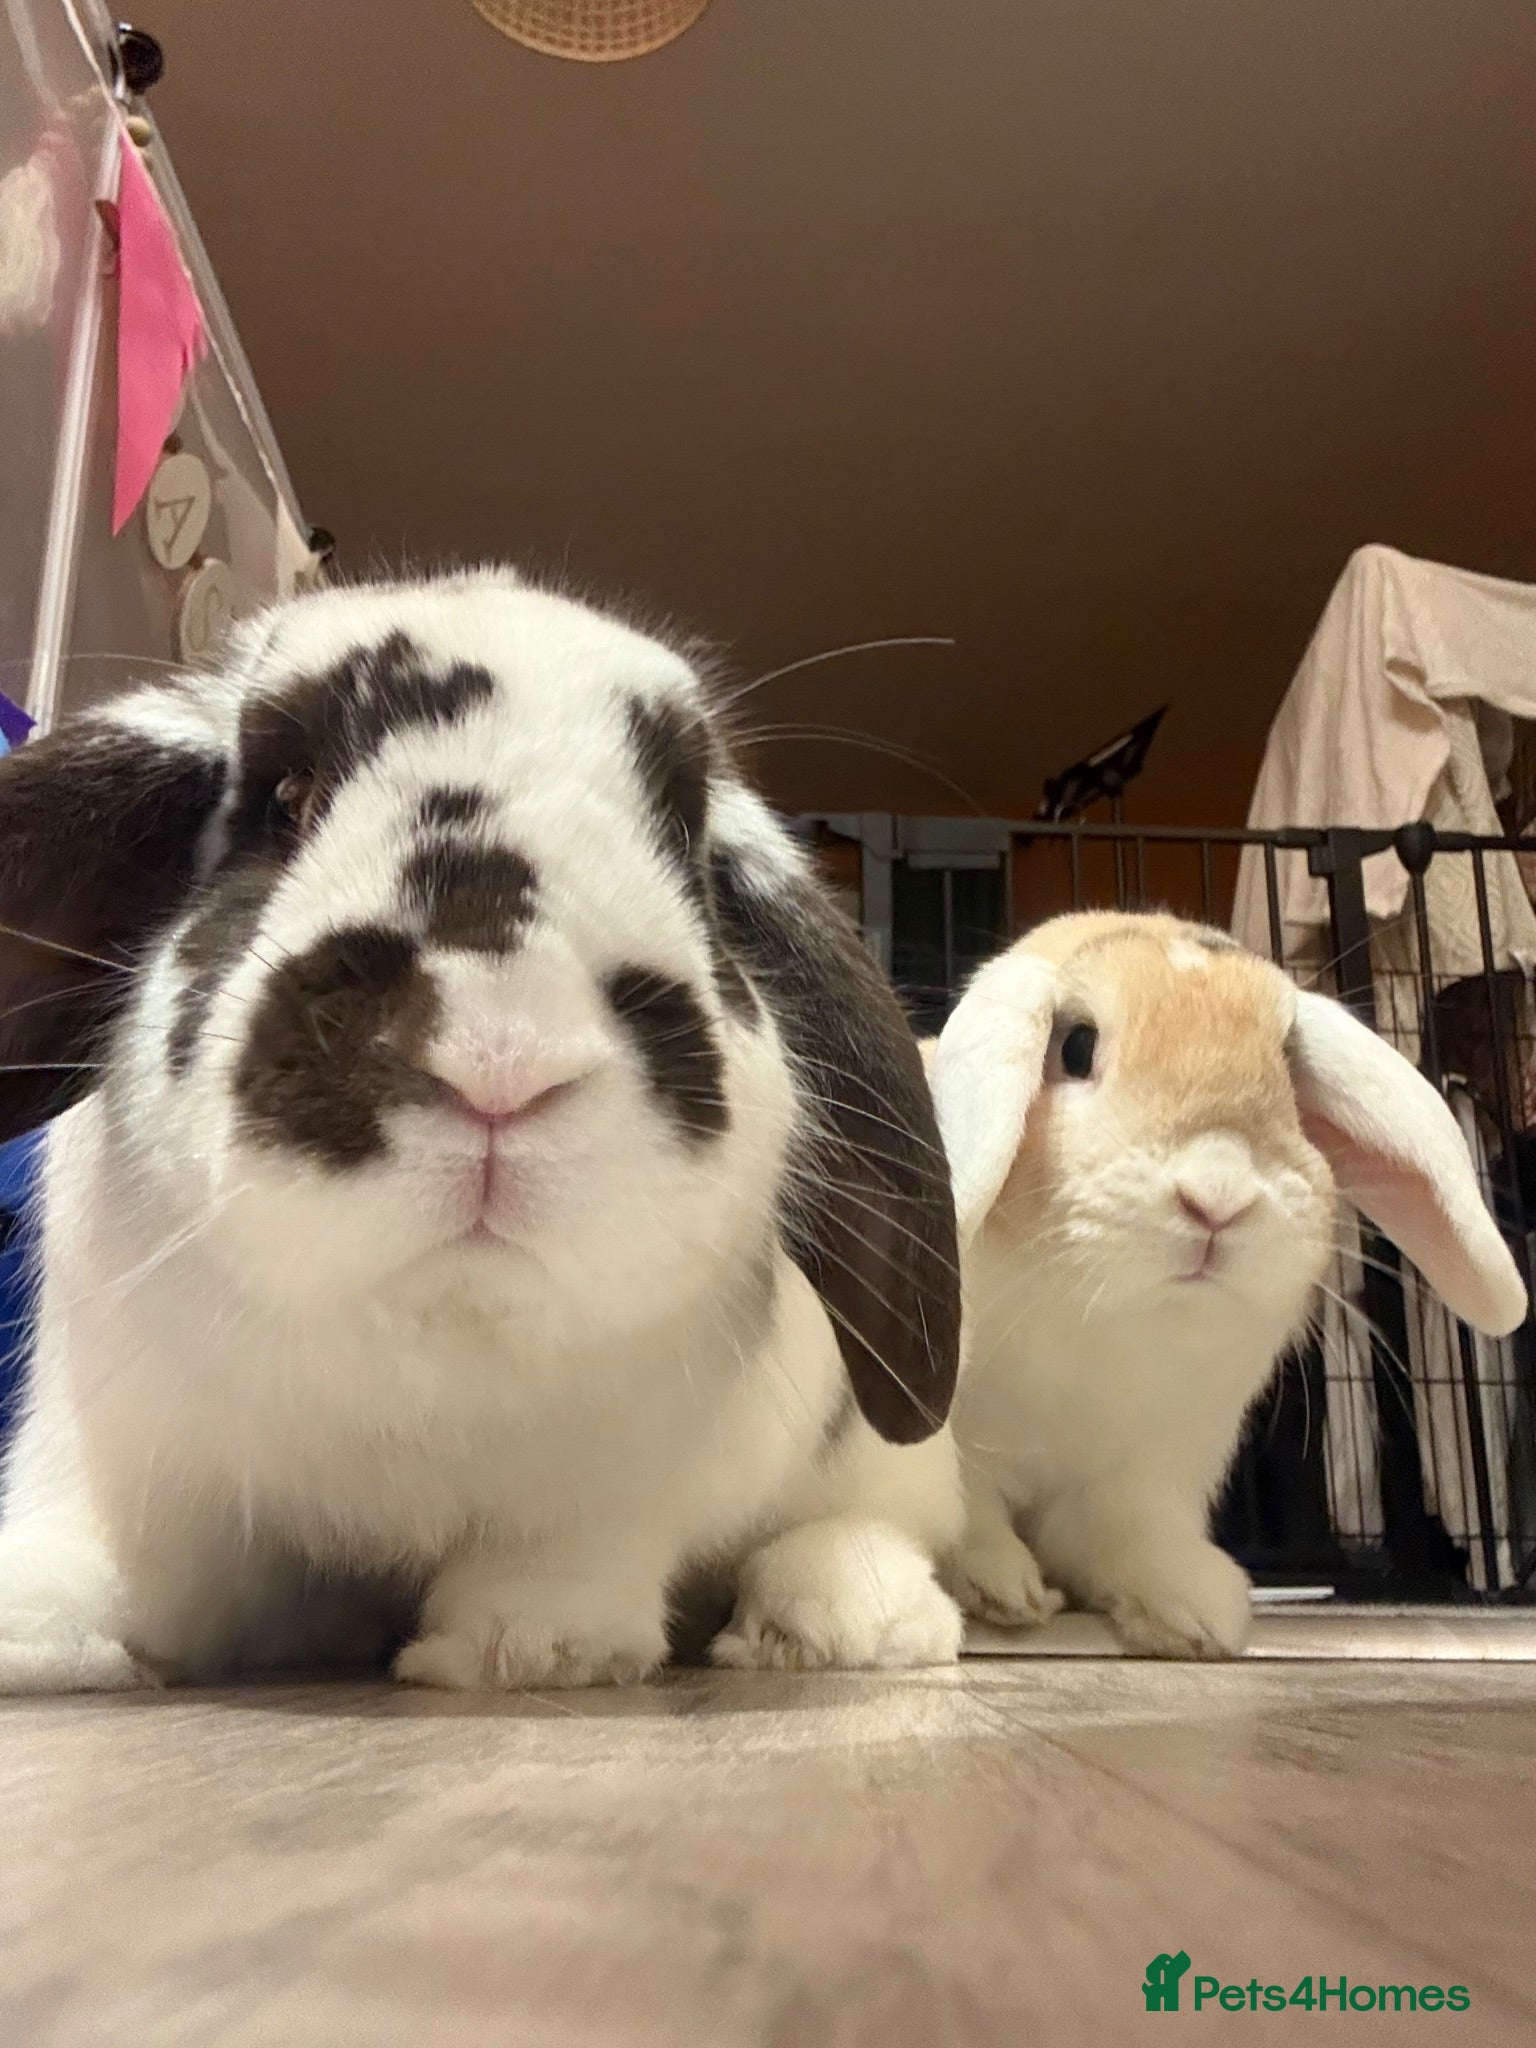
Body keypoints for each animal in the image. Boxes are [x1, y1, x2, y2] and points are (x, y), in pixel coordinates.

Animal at [0, 569, 966, 1693]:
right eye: (285, 798)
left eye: (686, 845)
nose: (502, 1057)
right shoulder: (119, 1446)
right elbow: (109, 1551)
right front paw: (32, 1631)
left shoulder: (610, 1487)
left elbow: (556, 1566)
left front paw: (522, 1650)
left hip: (880, 1460)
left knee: (875, 1528)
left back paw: (837, 1620)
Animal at [923, 910, 1527, 1659]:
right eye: (1077, 1046)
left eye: (1288, 1067)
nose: (1219, 1195)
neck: (1109, 1327)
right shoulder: (960, 1440)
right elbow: (970, 1510)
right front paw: (1004, 1591)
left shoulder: (1145, 1475)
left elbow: (1131, 1538)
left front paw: (1196, 1615)